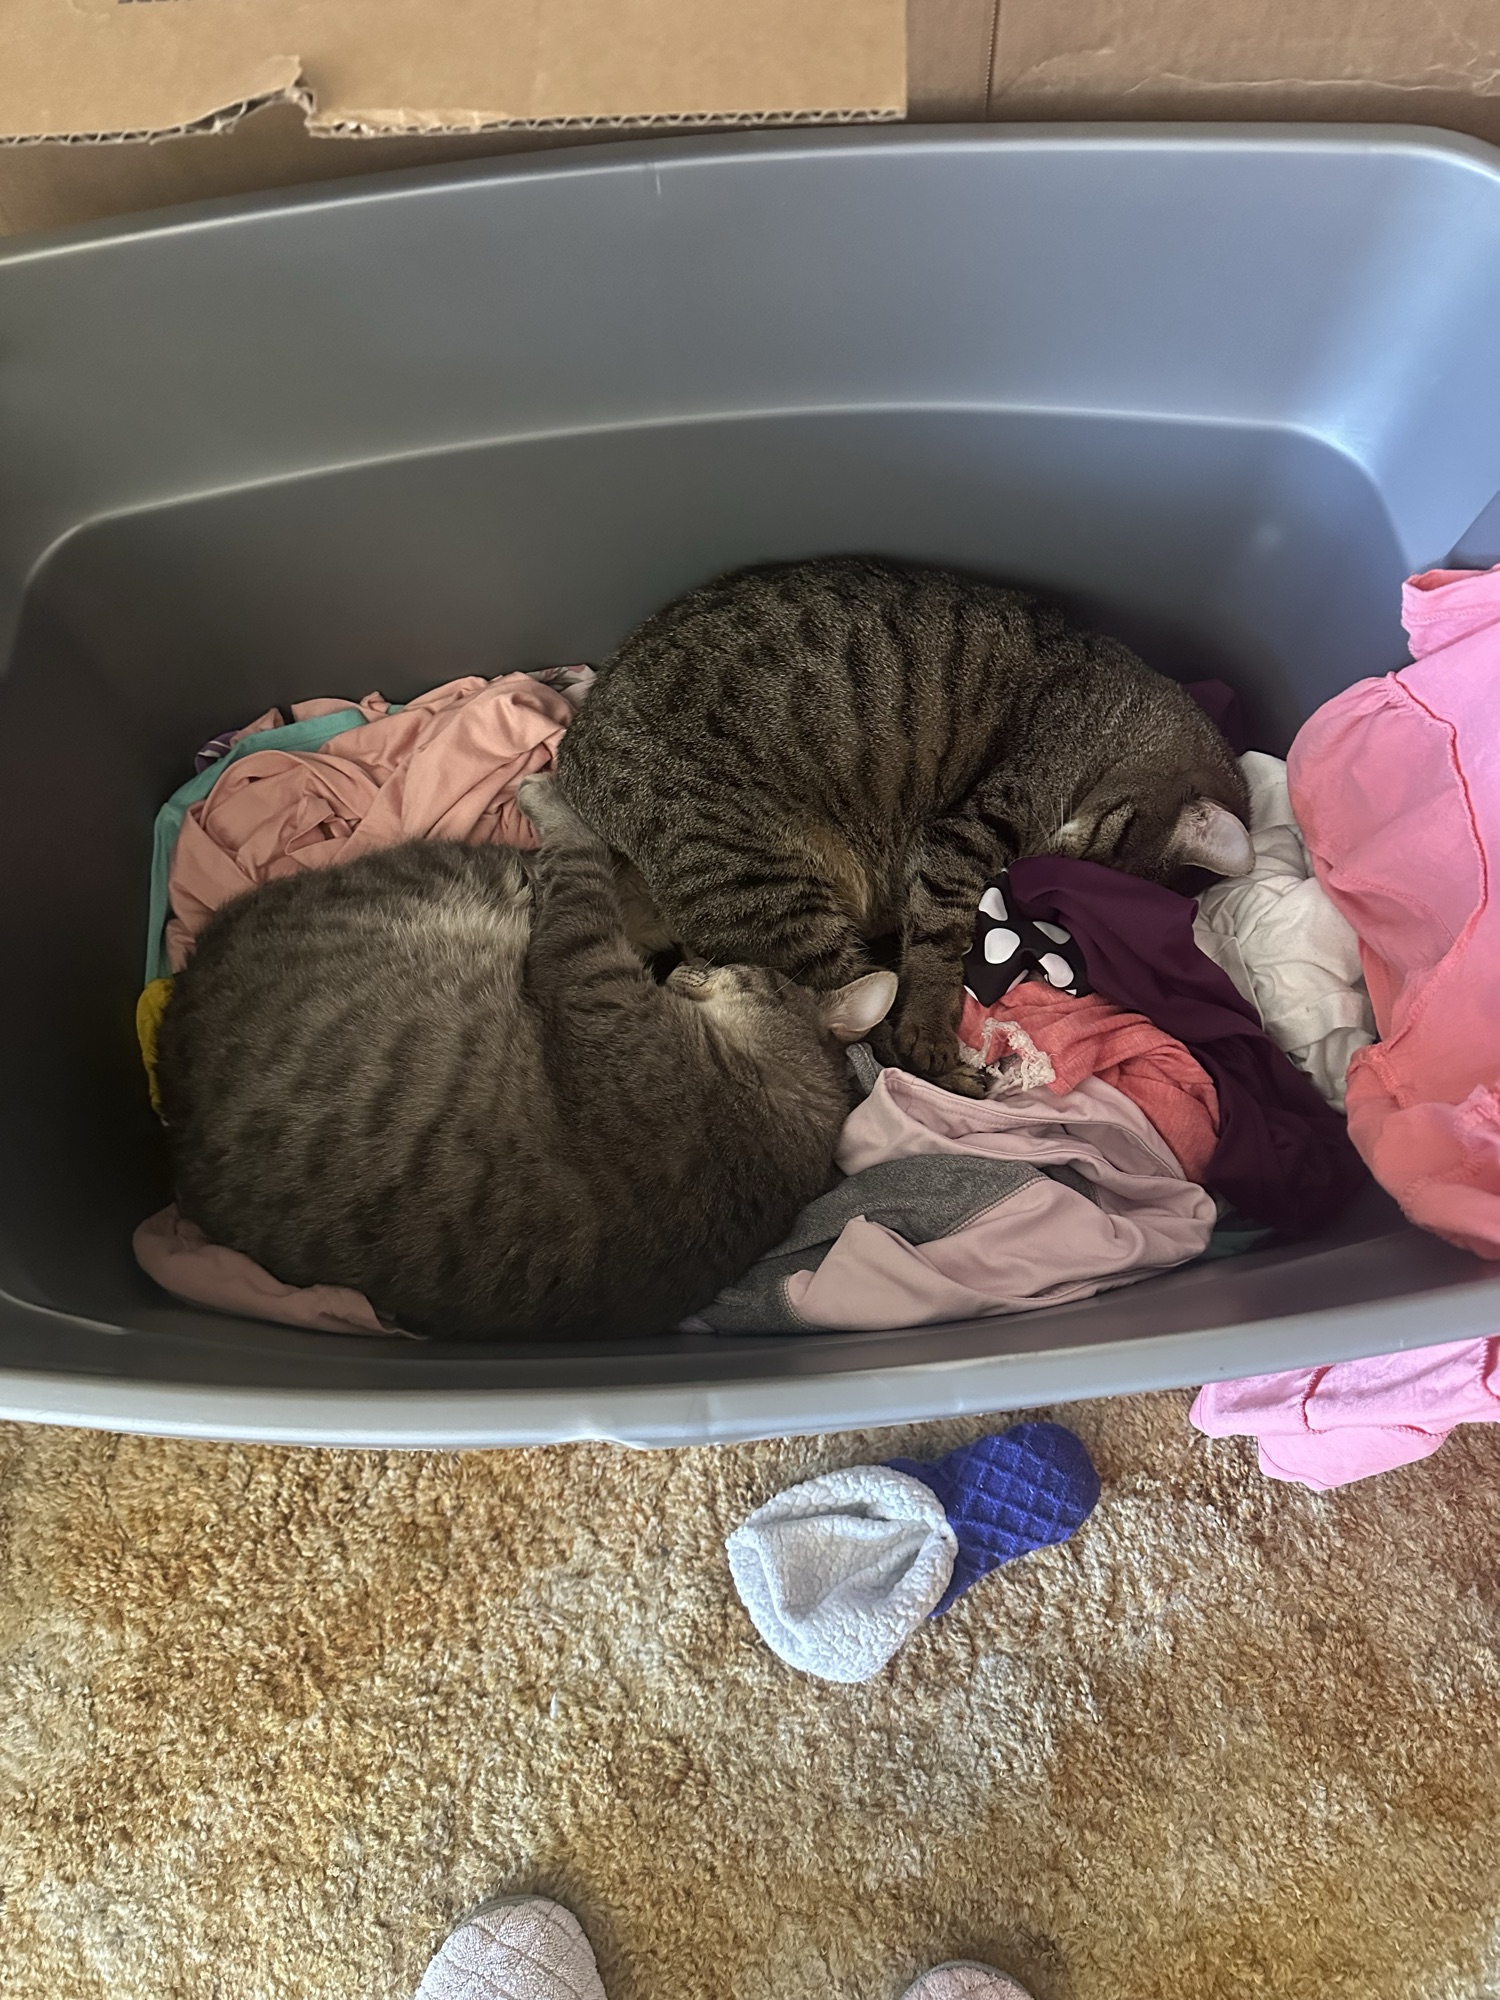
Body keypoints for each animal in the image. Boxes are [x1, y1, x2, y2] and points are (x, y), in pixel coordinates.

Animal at [153, 774, 895, 1340]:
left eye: (736, 966)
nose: (694, 964)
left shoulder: (584, 969)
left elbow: (583, 864)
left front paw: (555, 804)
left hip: (452, 868)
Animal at [557, 556, 1252, 1095]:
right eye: (1106, 844)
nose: (1035, 864)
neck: (1120, 713)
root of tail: (572, 757)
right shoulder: (966, 832)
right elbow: (940, 942)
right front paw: (931, 1028)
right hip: (762, 887)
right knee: (866, 1035)